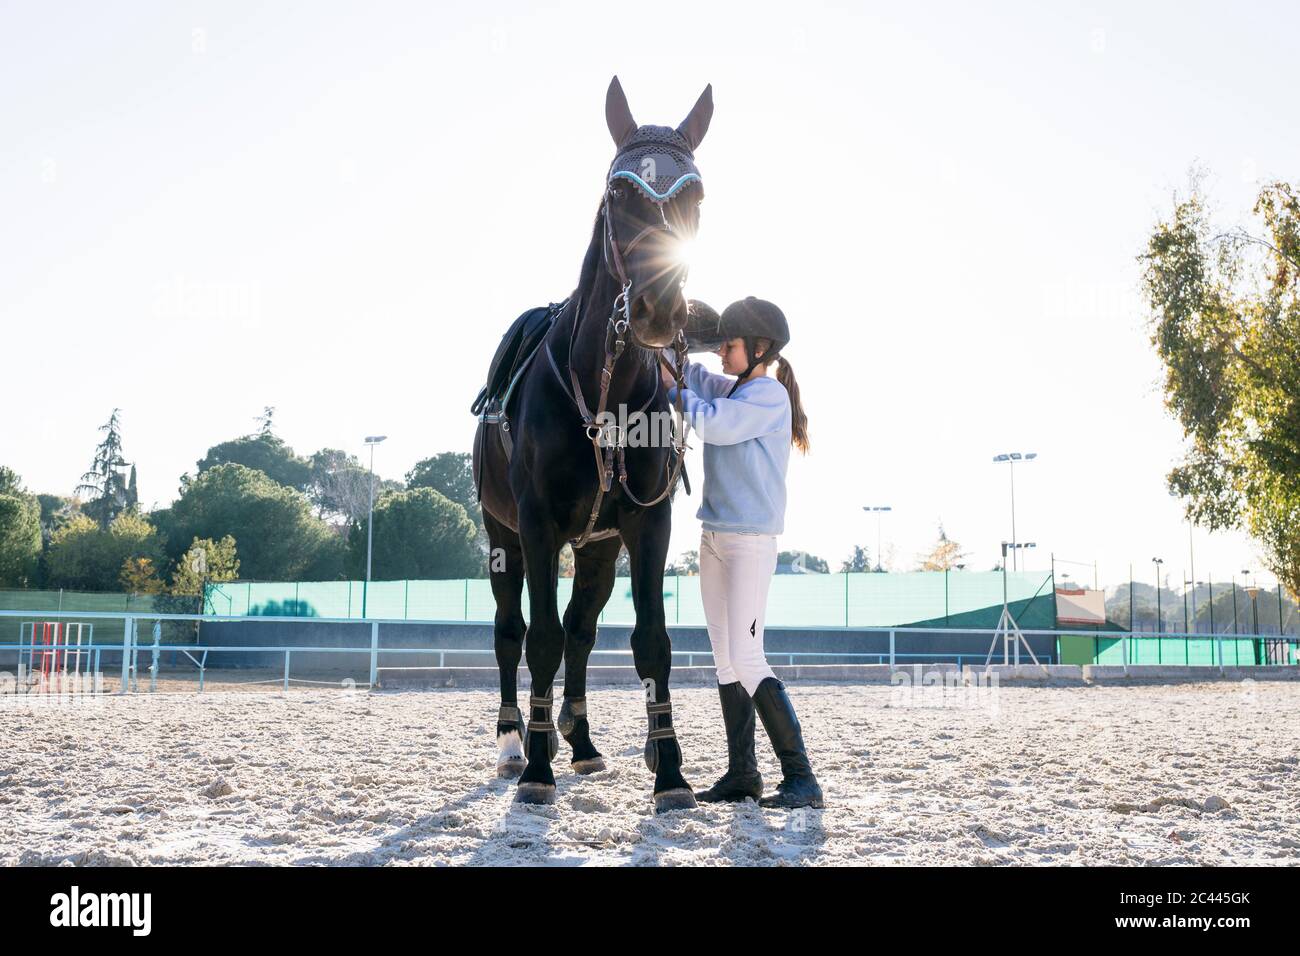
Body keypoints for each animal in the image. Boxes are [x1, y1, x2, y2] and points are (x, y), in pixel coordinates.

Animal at [473, 74, 712, 811]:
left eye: (695, 196)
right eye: (620, 194)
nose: (659, 310)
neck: (604, 387)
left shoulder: (646, 524)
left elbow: (649, 641)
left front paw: (671, 774)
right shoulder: (538, 524)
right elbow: (540, 640)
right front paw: (535, 767)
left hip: (599, 548)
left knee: (582, 631)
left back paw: (579, 740)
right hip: (501, 533)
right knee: (512, 632)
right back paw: (515, 741)